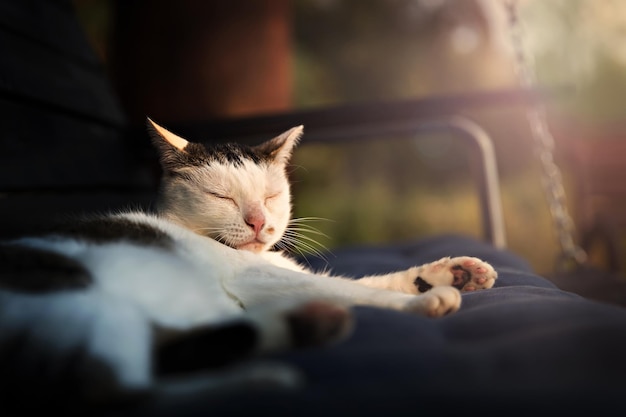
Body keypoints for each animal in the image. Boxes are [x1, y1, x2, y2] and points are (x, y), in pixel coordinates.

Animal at [0, 118, 498, 412]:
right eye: (222, 197)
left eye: (272, 195)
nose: (259, 221)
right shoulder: (258, 281)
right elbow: (355, 289)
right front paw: (428, 301)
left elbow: (373, 281)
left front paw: (451, 273)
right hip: (82, 298)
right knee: (118, 394)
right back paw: (266, 378)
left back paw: (308, 326)